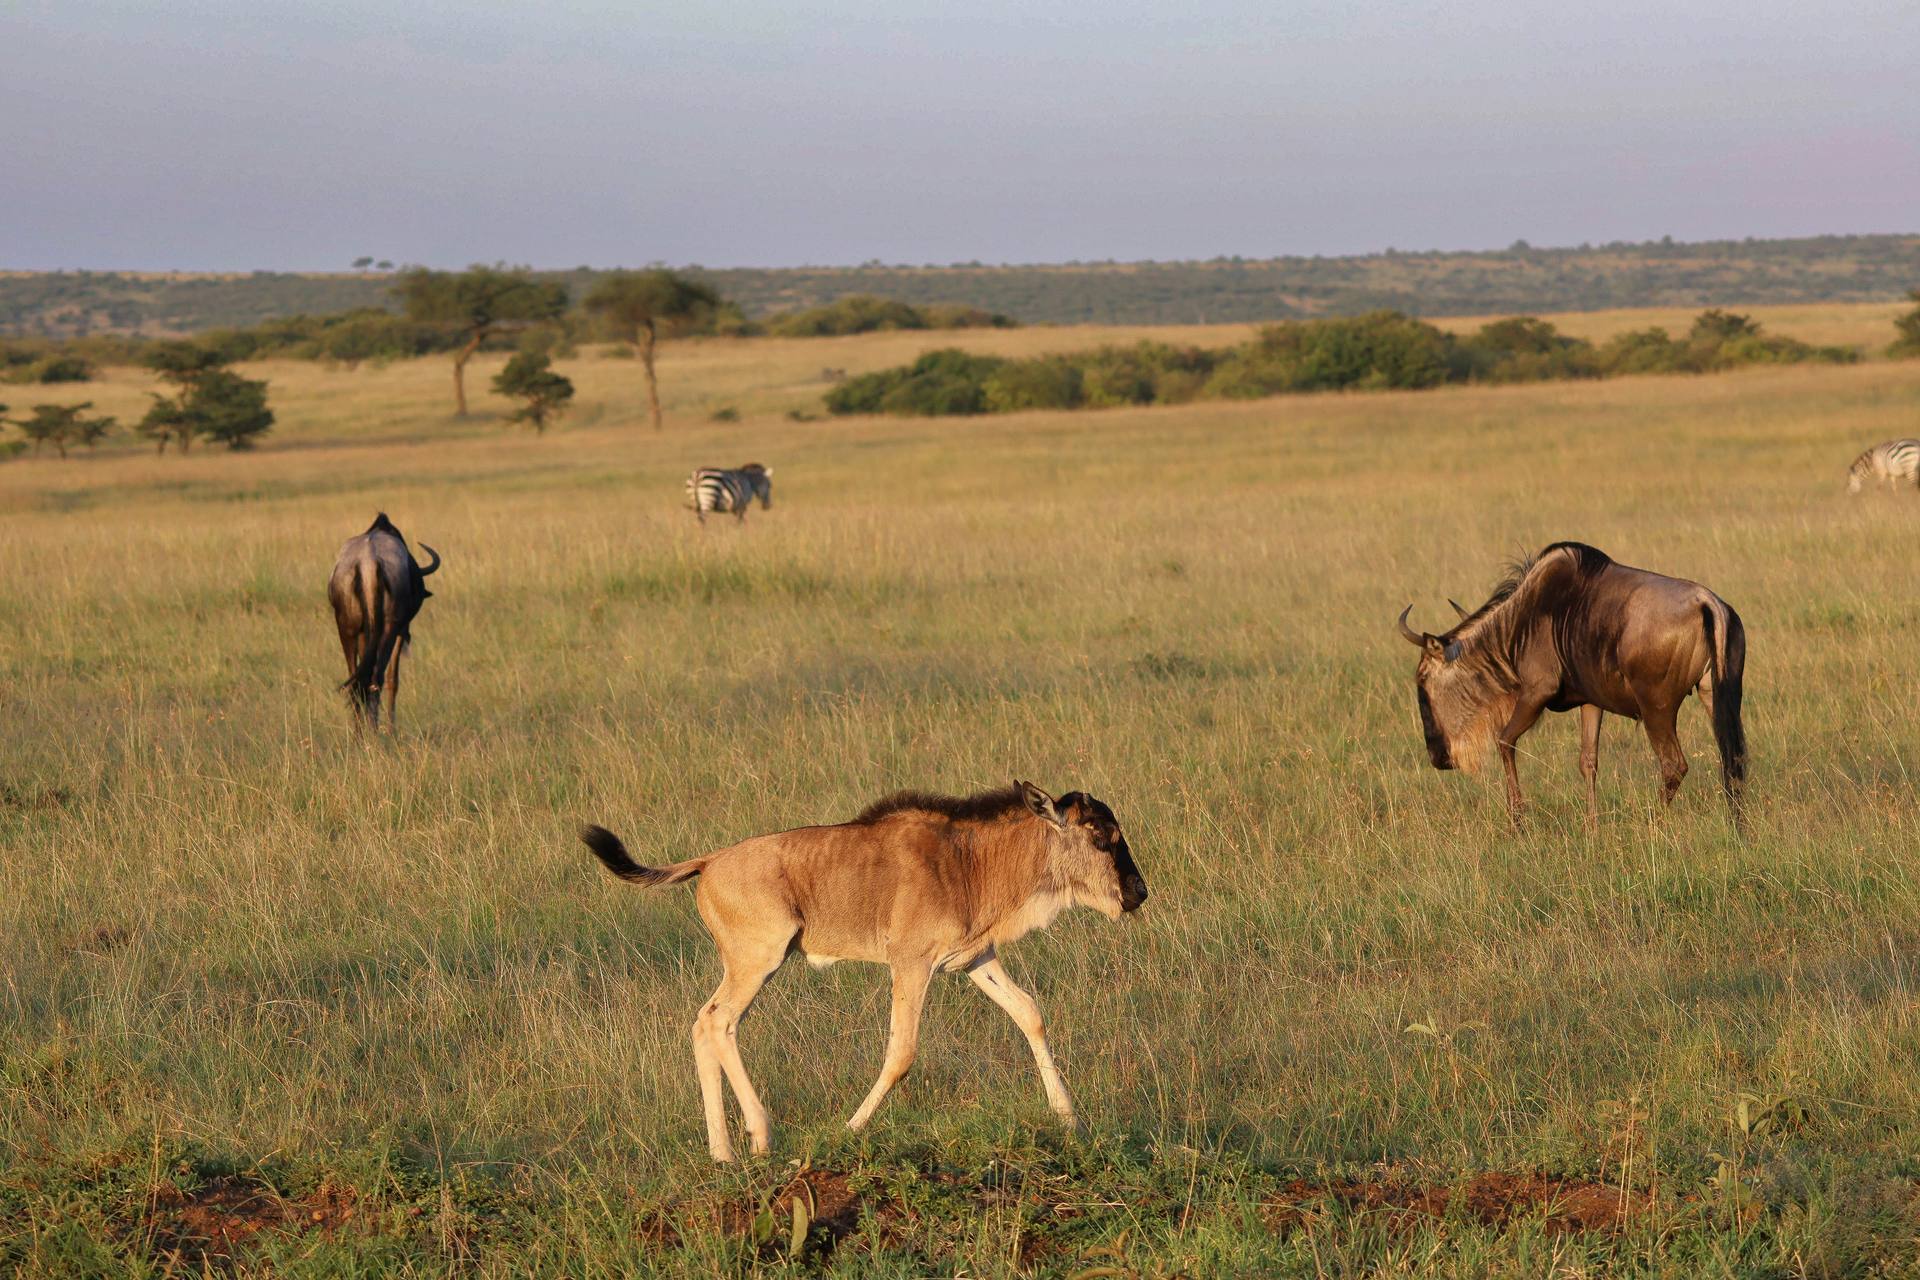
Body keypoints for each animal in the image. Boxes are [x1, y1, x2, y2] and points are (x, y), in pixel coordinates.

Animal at [327, 513, 440, 732]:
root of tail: (368, 563)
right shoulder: (401, 630)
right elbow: (392, 679)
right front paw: (391, 729)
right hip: (389, 629)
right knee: (376, 678)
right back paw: (374, 731)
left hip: (347, 630)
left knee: (357, 679)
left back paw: (359, 733)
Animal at [580, 781, 1147, 1162]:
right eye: (1101, 838)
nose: (1139, 893)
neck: (969, 861)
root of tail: (709, 861)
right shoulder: (911, 965)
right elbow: (902, 1052)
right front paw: (851, 1129)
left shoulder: (973, 959)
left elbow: (1030, 1013)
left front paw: (1069, 1117)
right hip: (758, 961)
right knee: (717, 1022)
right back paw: (760, 1135)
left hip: (753, 966)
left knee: (705, 1024)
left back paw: (722, 1151)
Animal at [1398, 541, 1747, 824]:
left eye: (1422, 679)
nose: (1437, 757)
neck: (1517, 626)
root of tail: (1708, 603)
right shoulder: (1591, 701)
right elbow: (1588, 762)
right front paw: (1592, 827)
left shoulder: (1536, 693)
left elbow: (1505, 741)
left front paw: (1517, 821)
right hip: (1718, 697)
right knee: (1733, 758)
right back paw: (1738, 827)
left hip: (1656, 708)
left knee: (1674, 765)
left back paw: (1652, 822)